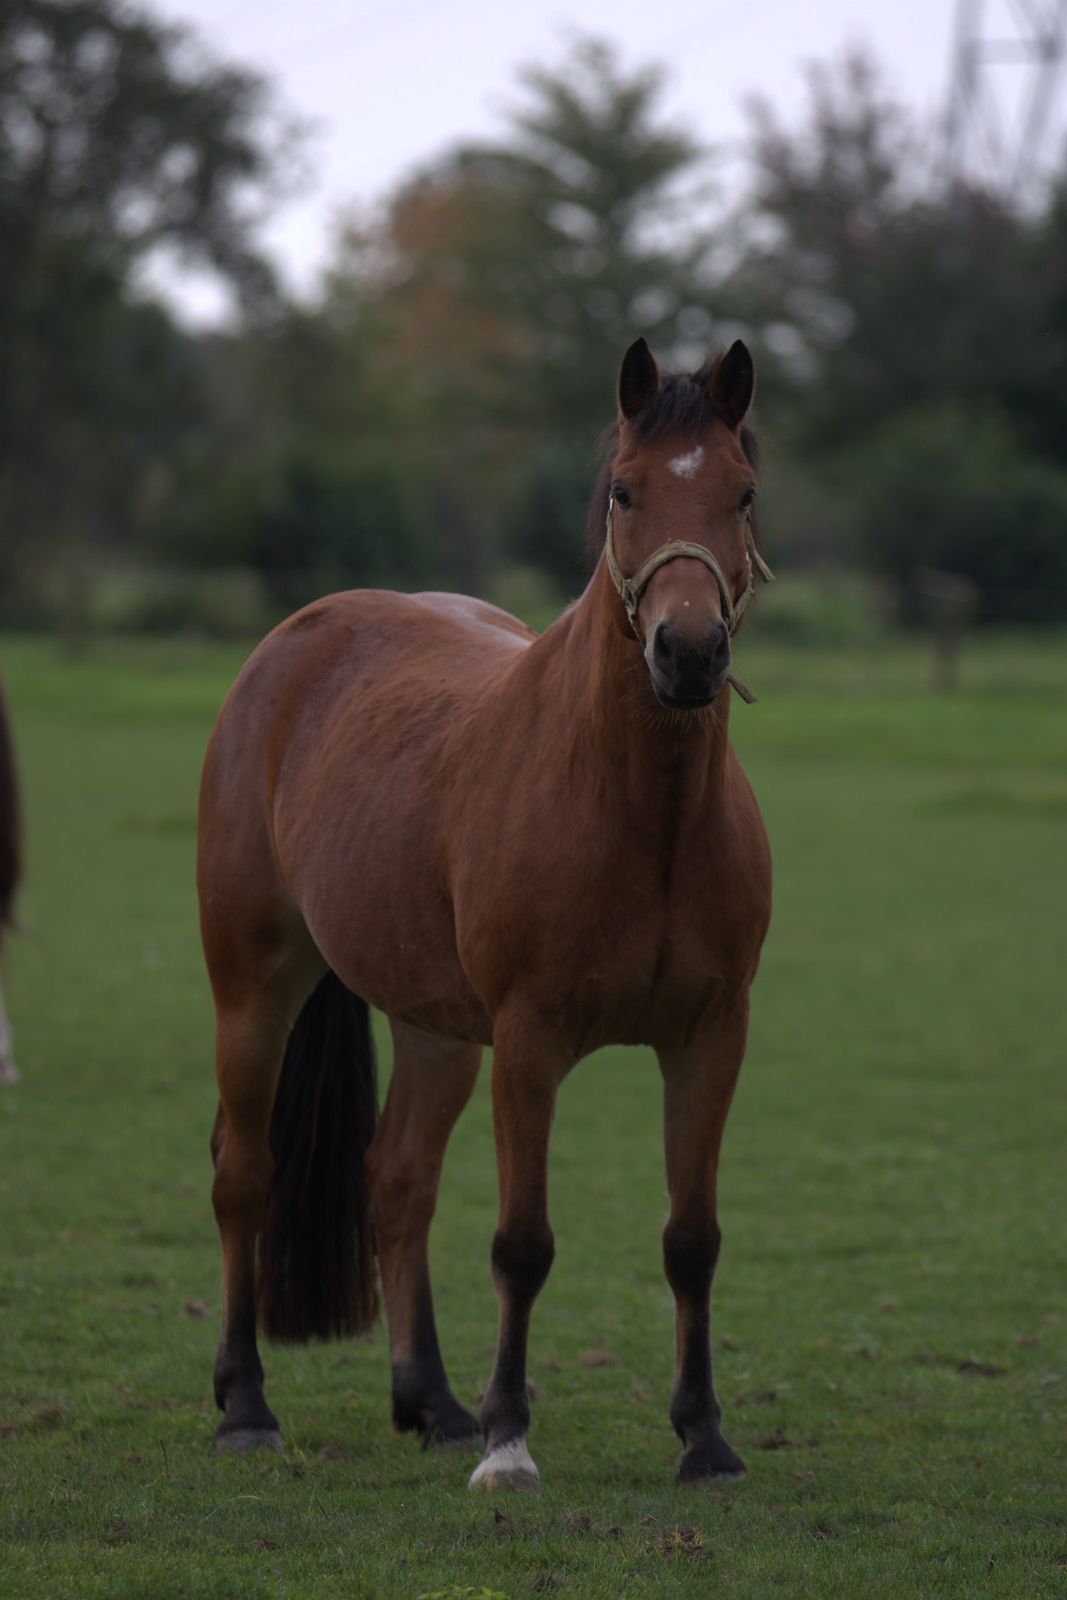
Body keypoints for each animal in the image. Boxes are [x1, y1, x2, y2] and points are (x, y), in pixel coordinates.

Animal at [198, 336, 774, 1489]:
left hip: (433, 1027)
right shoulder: (529, 1039)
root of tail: (293, 641)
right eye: (623, 490)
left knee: (397, 1180)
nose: (688, 653)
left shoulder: (709, 1037)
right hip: (254, 989)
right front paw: (511, 1439)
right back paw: (247, 1406)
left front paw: (704, 1435)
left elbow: (691, 1239)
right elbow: (522, 1242)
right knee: (244, 1173)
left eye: (741, 493)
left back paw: (429, 1401)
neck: (641, 813)